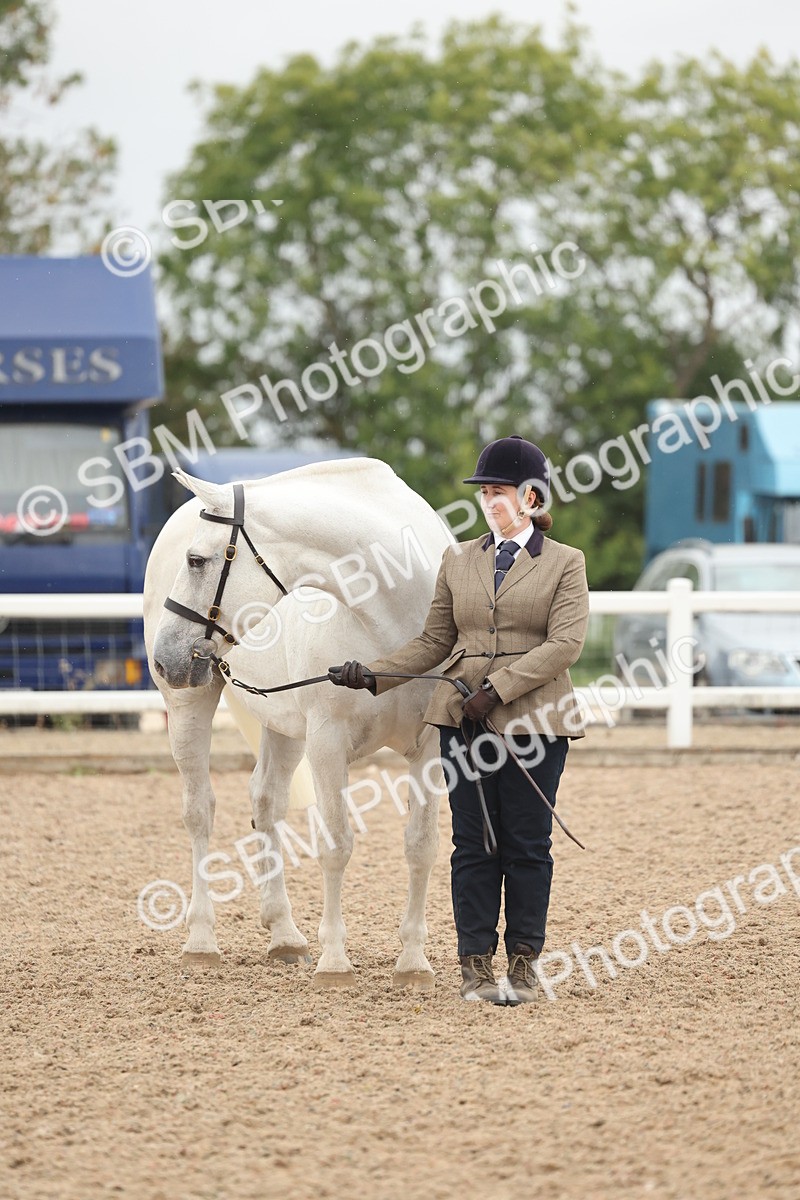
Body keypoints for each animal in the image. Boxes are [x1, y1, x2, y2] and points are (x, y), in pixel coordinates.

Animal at [143, 458, 454, 989]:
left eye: (197, 561)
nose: (166, 659)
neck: (394, 621)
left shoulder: (428, 748)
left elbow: (422, 846)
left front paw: (413, 963)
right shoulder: (327, 742)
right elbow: (336, 845)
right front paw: (335, 963)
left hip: (282, 723)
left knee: (266, 803)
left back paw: (284, 935)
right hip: (191, 704)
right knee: (199, 811)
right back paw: (202, 942)